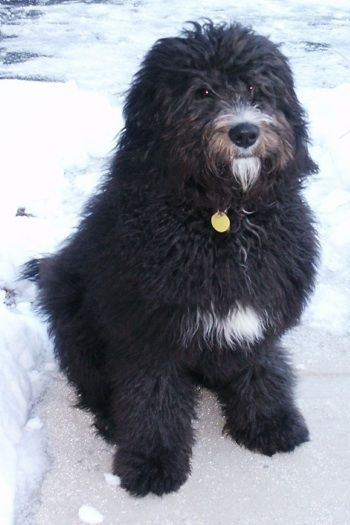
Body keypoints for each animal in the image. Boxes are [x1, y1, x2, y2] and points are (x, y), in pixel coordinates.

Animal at [26, 20, 318, 496]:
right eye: (202, 92)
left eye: (256, 88)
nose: (245, 133)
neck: (222, 217)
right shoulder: (148, 328)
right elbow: (152, 397)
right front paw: (152, 461)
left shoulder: (257, 311)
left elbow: (261, 367)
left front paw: (270, 423)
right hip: (66, 297)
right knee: (92, 382)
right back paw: (110, 420)